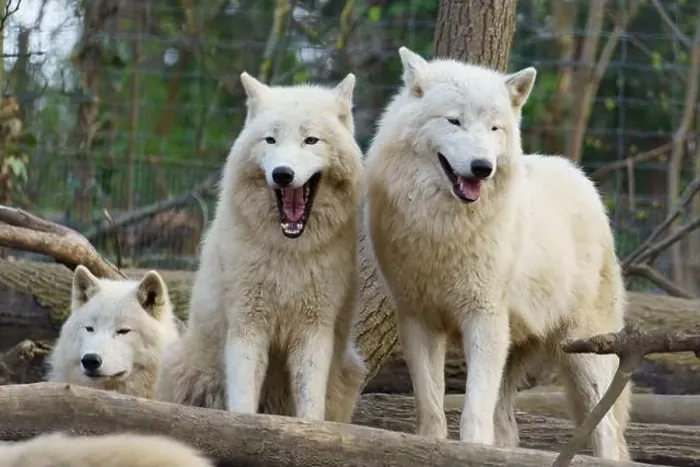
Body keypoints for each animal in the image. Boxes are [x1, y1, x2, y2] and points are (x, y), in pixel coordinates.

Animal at [154, 72, 367, 423]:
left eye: (311, 140)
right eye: (270, 140)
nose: (283, 174)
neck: (289, 252)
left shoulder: (313, 331)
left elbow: (311, 403)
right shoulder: (247, 324)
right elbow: (243, 397)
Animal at [364, 46, 630, 460]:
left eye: (494, 128)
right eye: (454, 121)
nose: (482, 167)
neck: (444, 229)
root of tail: (582, 178)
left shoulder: (484, 318)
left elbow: (474, 410)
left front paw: (471, 450)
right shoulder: (419, 320)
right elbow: (431, 405)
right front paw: (430, 445)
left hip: (584, 353)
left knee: (607, 433)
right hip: (517, 348)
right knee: (507, 426)